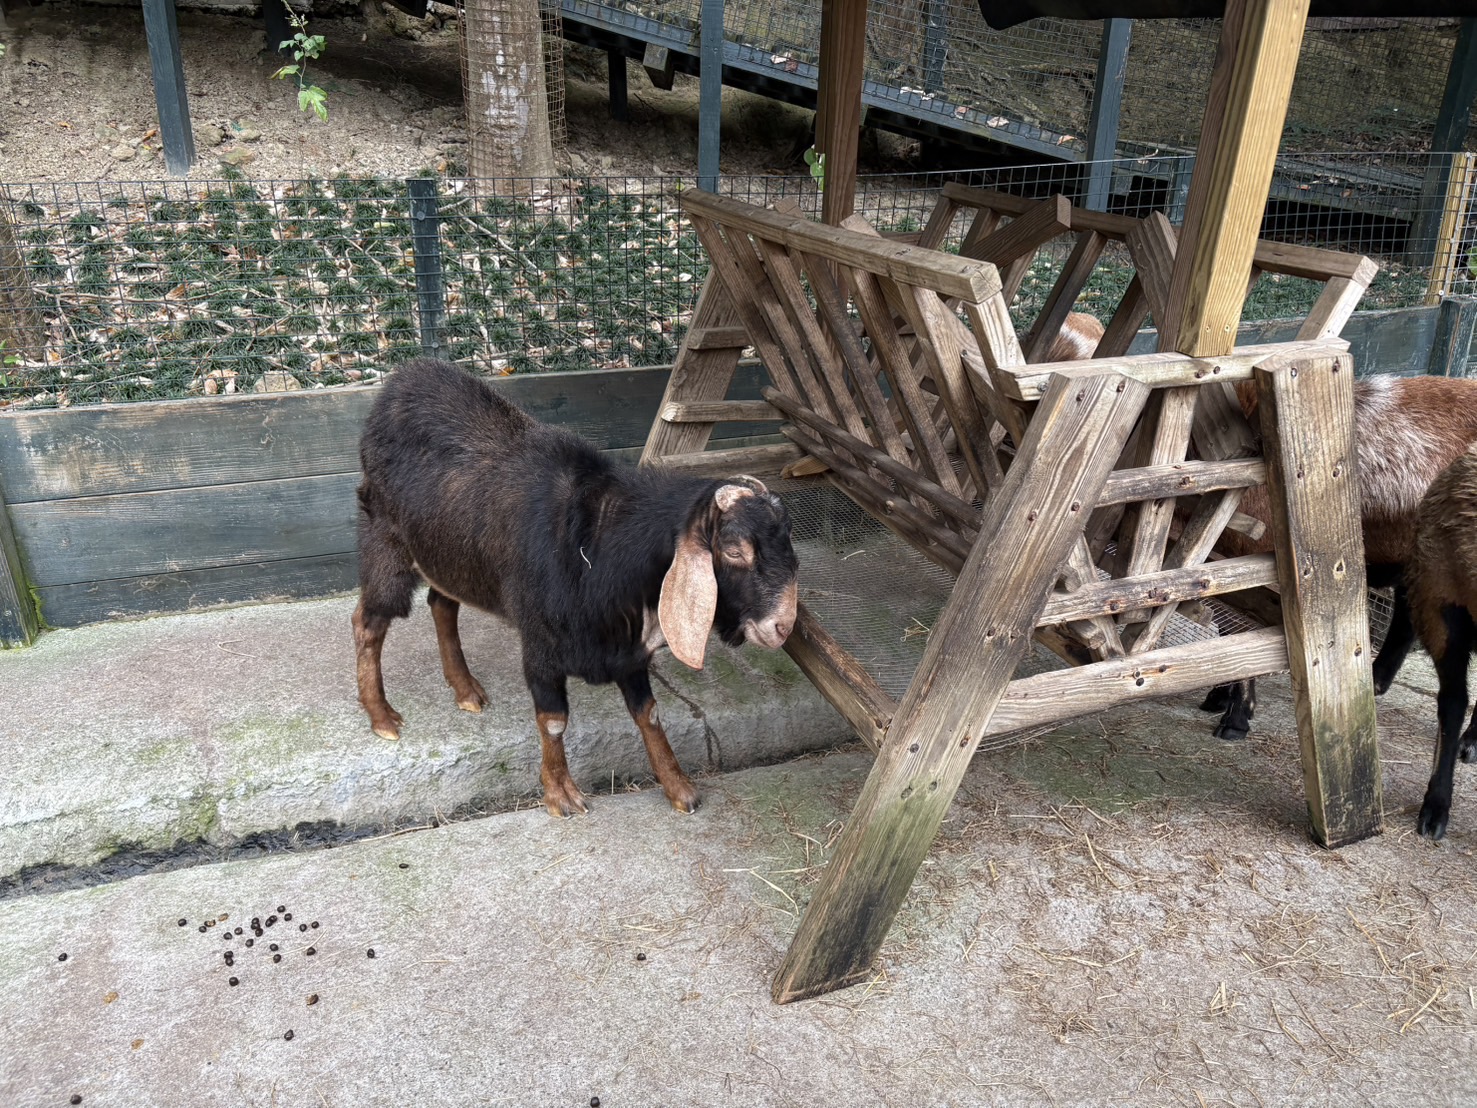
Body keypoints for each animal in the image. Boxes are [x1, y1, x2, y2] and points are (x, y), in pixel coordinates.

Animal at [351, 360, 803, 821]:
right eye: (733, 550)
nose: (783, 626)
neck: (600, 545)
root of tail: (405, 377)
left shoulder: (627, 652)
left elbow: (649, 714)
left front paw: (679, 787)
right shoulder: (541, 646)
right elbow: (553, 720)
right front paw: (560, 793)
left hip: (449, 554)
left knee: (441, 603)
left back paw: (465, 690)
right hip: (386, 539)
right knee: (369, 620)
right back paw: (382, 716)